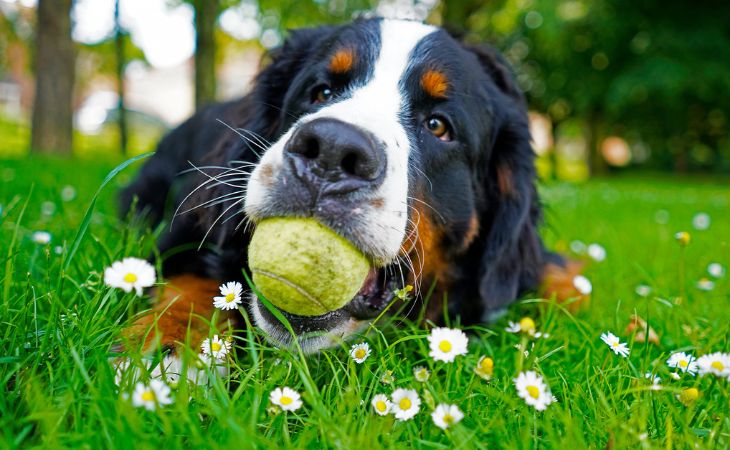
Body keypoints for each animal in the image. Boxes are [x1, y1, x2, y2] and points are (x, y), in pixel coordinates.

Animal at [119, 16, 584, 356]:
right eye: (321, 92)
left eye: (438, 126)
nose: (331, 150)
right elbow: (193, 282)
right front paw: (166, 352)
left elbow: (560, 275)